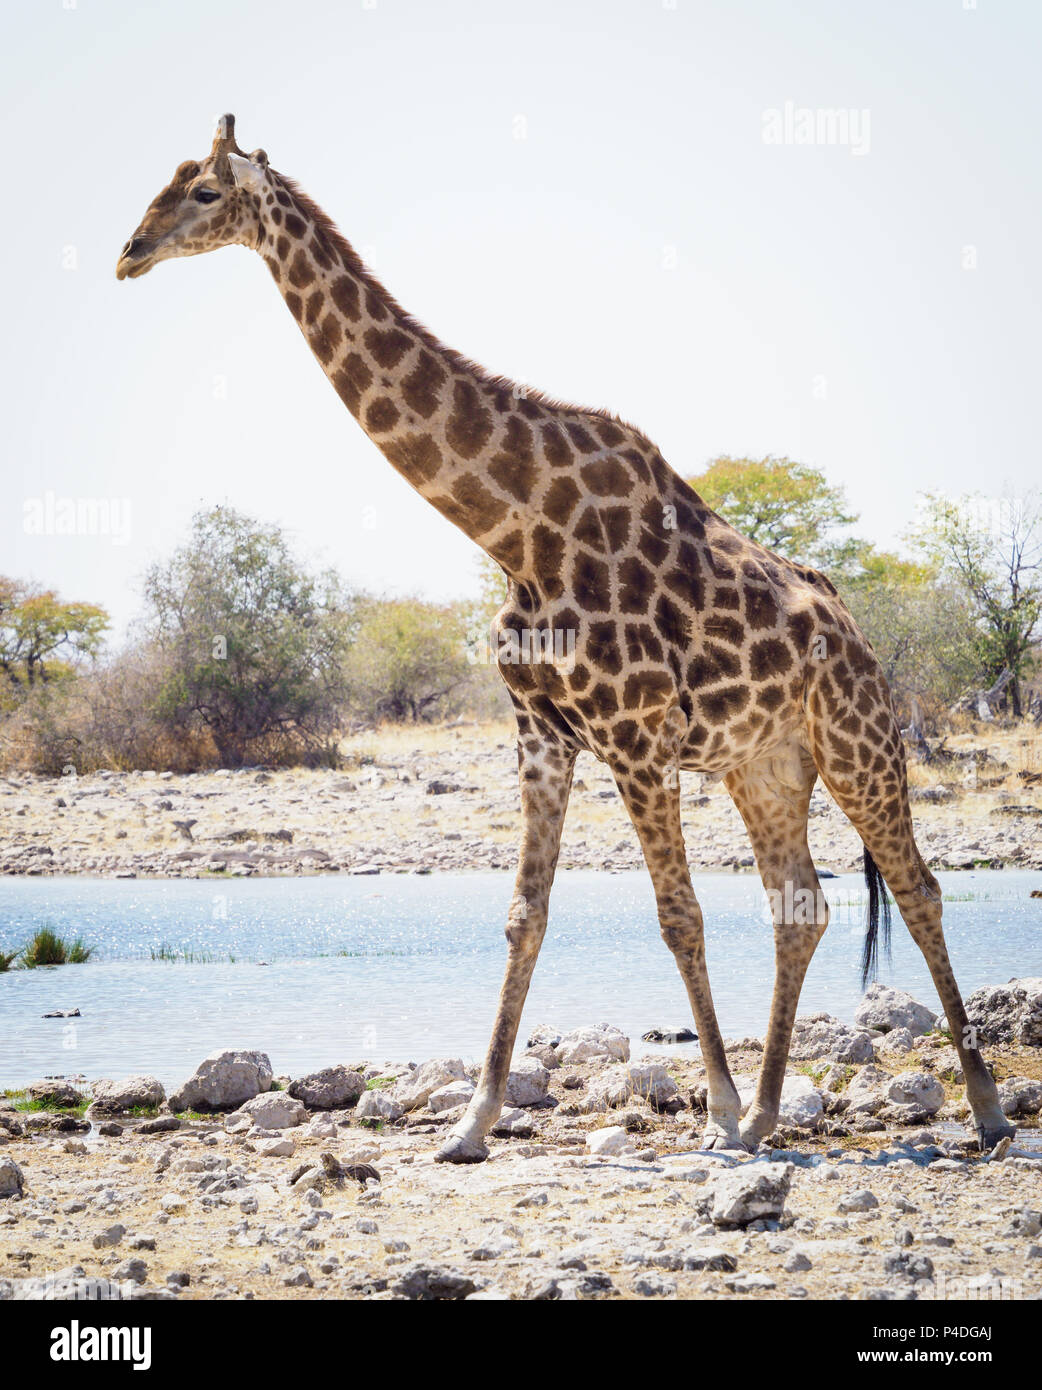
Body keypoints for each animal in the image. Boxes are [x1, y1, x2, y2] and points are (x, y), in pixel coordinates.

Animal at [116, 113, 1022, 1162]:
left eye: (203, 193)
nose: (129, 252)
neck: (518, 528)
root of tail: (856, 629)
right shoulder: (542, 732)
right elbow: (525, 915)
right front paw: (471, 1122)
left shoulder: (634, 737)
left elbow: (678, 916)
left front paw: (711, 1110)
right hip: (766, 765)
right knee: (802, 905)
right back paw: (768, 1115)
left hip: (858, 743)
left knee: (918, 886)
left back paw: (982, 1109)